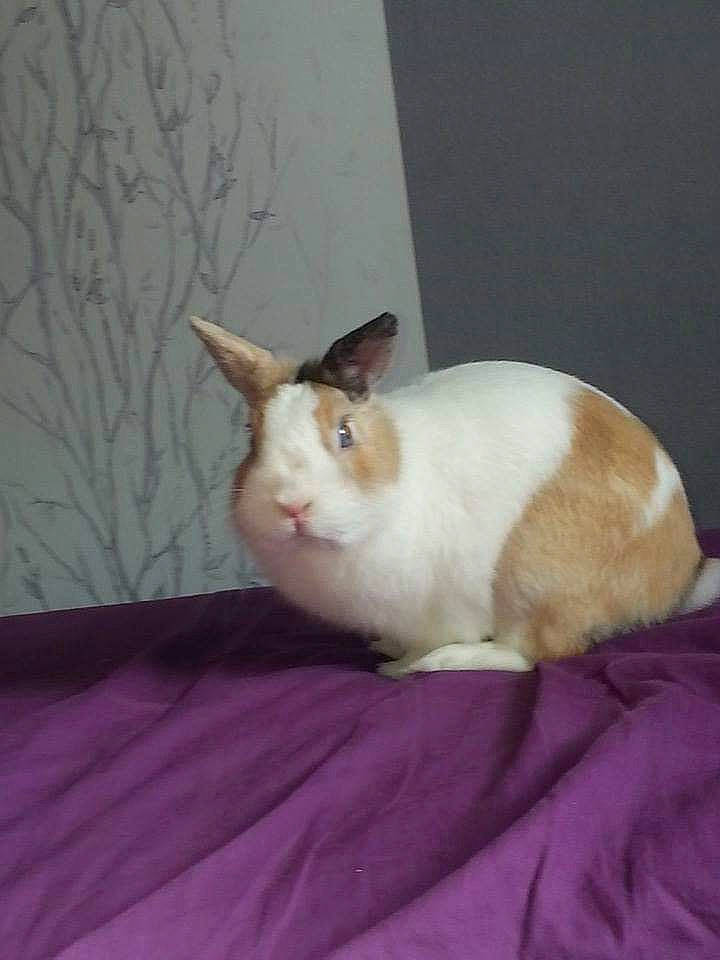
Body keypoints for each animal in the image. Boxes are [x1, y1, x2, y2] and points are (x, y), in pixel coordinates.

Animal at [190, 312, 720, 677]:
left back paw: (438, 663)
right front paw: (387, 648)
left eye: (344, 433)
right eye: (252, 434)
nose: (292, 506)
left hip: (537, 581)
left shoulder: (445, 608)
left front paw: (401, 665)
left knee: (536, 652)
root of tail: (681, 576)